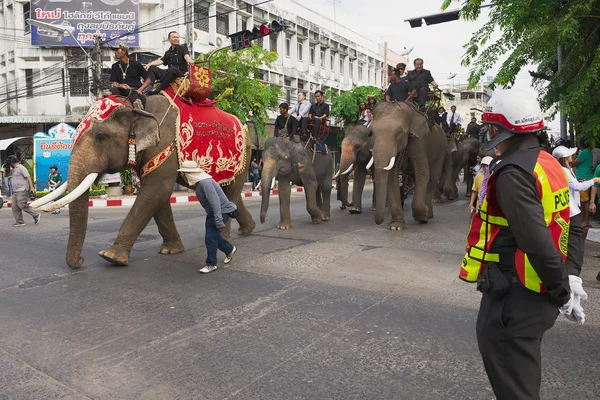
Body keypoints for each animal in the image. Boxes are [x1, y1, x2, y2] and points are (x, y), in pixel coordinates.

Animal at [31, 94, 255, 268]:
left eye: (101, 136)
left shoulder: (165, 144)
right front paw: (170, 250)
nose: (81, 261)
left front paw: (111, 256)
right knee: (228, 194)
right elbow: (158, 196)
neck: (138, 107)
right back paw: (248, 229)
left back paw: (227, 239)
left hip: (242, 156)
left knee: (230, 192)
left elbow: (157, 189)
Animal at [370, 101, 446, 230]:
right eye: (371, 132)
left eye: (399, 132)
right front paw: (396, 227)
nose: (381, 221)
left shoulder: (419, 141)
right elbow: (392, 177)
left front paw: (422, 216)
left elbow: (423, 173)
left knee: (432, 178)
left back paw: (428, 214)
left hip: (441, 151)